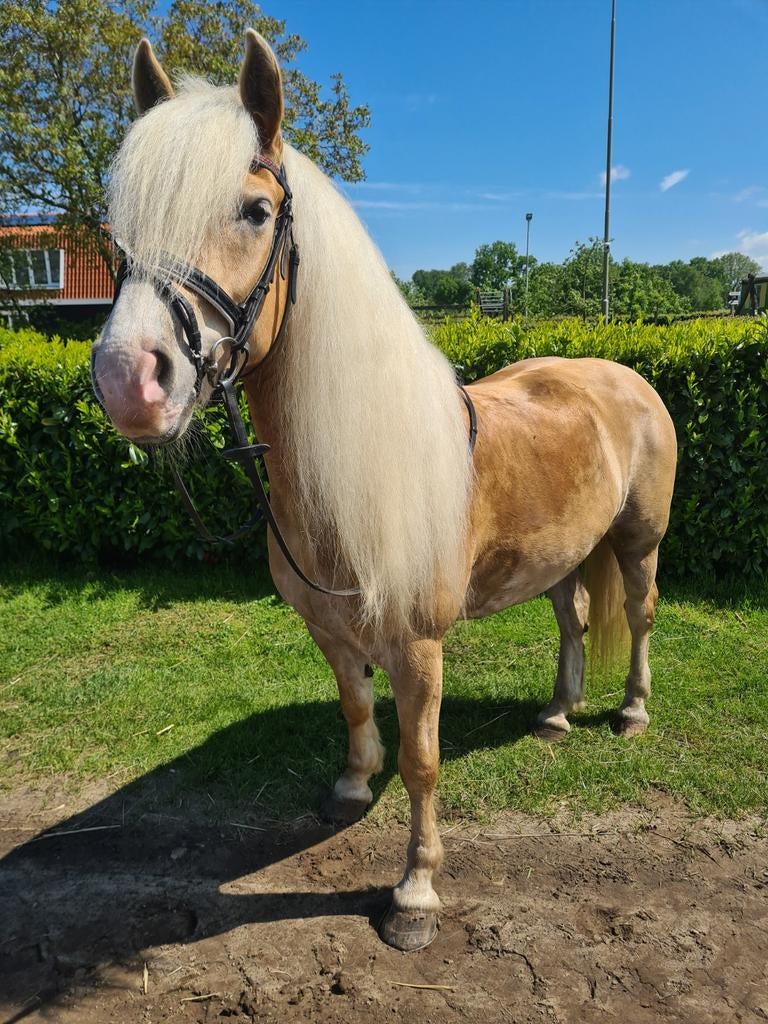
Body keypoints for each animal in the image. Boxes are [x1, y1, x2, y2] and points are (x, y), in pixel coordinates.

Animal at [91, 31, 677, 952]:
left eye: (255, 211)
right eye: (119, 225)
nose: (128, 382)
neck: (348, 479)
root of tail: (623, 376)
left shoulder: (419, 645)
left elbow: (422, 758)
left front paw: (416, 894)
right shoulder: (330, 629)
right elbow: (355, 707)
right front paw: (351, 789)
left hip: (637, 542)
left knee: (642, 616)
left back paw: (630, 713)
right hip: (558, 557)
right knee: (572, 619)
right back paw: (556, 713)